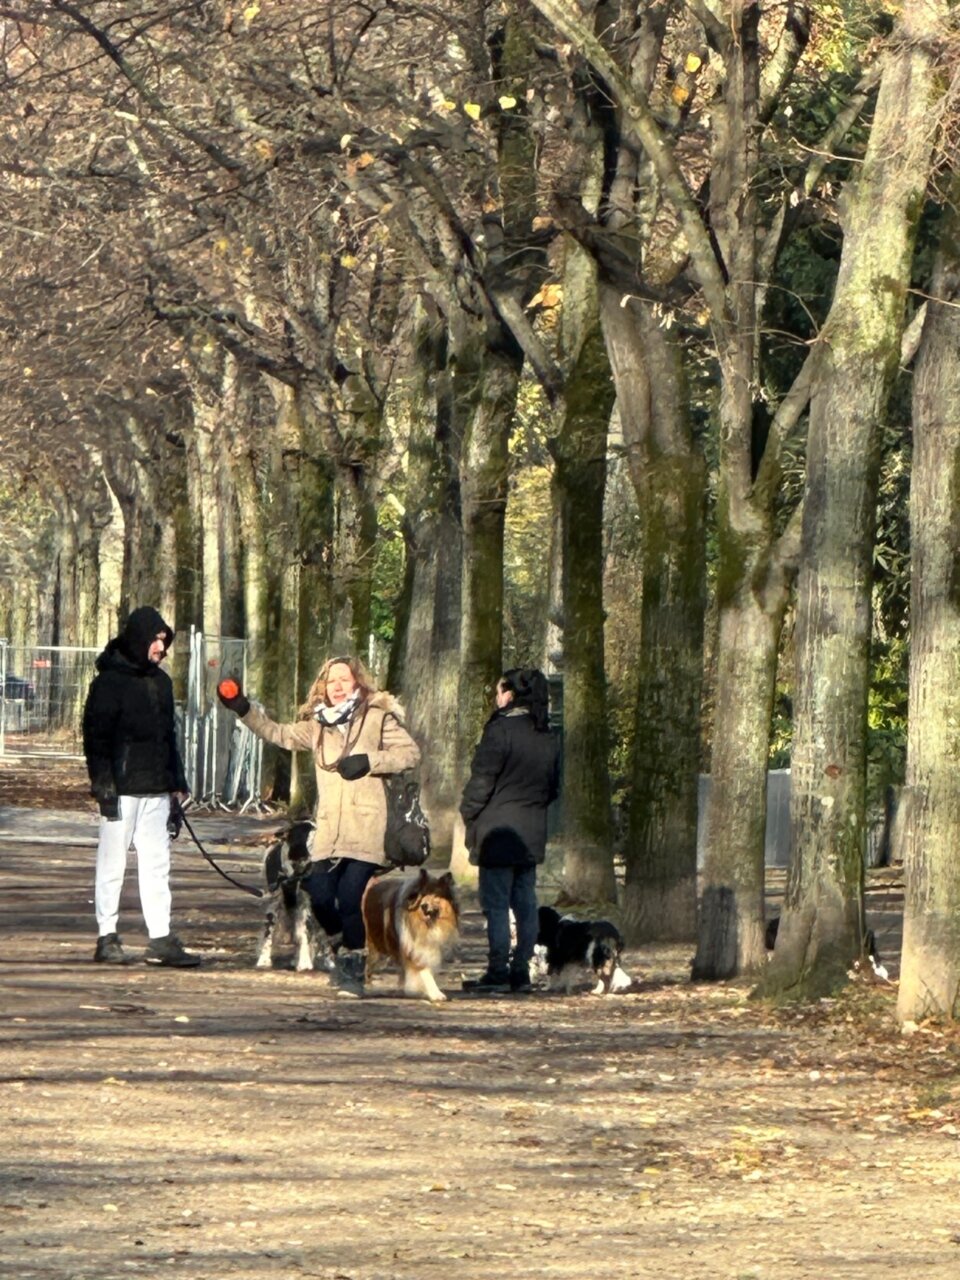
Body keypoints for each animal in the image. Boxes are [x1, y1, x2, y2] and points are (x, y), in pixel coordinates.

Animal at [256, 819, 335, 967]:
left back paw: (329, 960)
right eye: (312, 831)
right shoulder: (273, 904)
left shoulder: (304, 905)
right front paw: (263, 960)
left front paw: (304, 962)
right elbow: (268, 933)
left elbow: (305, 933)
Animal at [363, 865, 463, 1003]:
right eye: (423, 894)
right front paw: (435, 993)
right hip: (377, 944)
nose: (424, 906)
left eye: (435, 895)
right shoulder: (413, 946)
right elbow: (424, 970)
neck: (428, 925)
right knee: (369, 963)